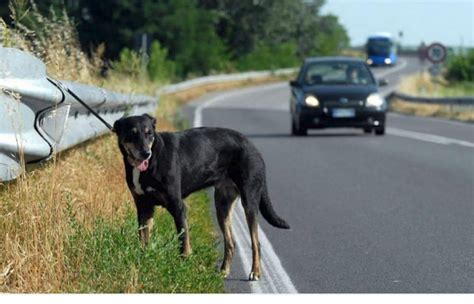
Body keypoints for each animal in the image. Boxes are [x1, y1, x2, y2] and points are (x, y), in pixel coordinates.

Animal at [114, 113, 288, 280]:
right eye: (132, 134)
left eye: (149, 133)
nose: (146, 154)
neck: (153, 160)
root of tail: (251, 144)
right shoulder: (144, 208)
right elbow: (143, 241)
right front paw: (143, 264)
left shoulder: (178, 207)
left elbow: (183, 242)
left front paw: (183, 268)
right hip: (222, 206)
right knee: (230, 242)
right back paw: (223, 271)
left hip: (249, 202)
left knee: (256, 242)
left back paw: (255, 272)